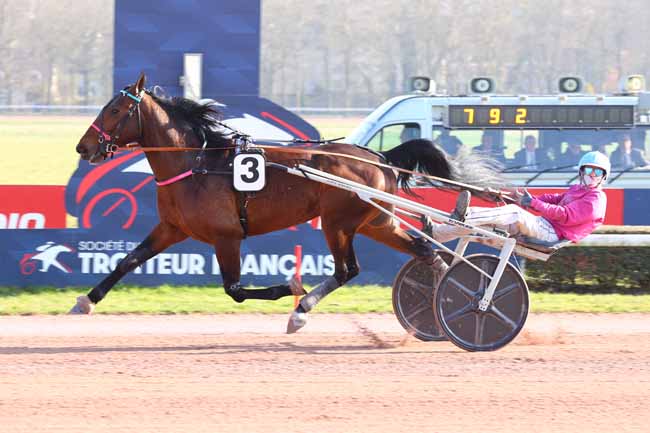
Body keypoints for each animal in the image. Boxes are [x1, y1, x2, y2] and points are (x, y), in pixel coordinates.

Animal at [71, 73, 498, 330]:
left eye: (114, 109)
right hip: (377, 222)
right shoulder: (172, 228)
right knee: (428, 252)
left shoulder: (227, 236)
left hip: (338, 223)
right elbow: (127, 260)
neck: (197, 163)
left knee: (348, 269)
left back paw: (302, 311)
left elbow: (235, 289)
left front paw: (289, 286)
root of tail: (379, 156)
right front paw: (86, 301)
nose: (83, 147)